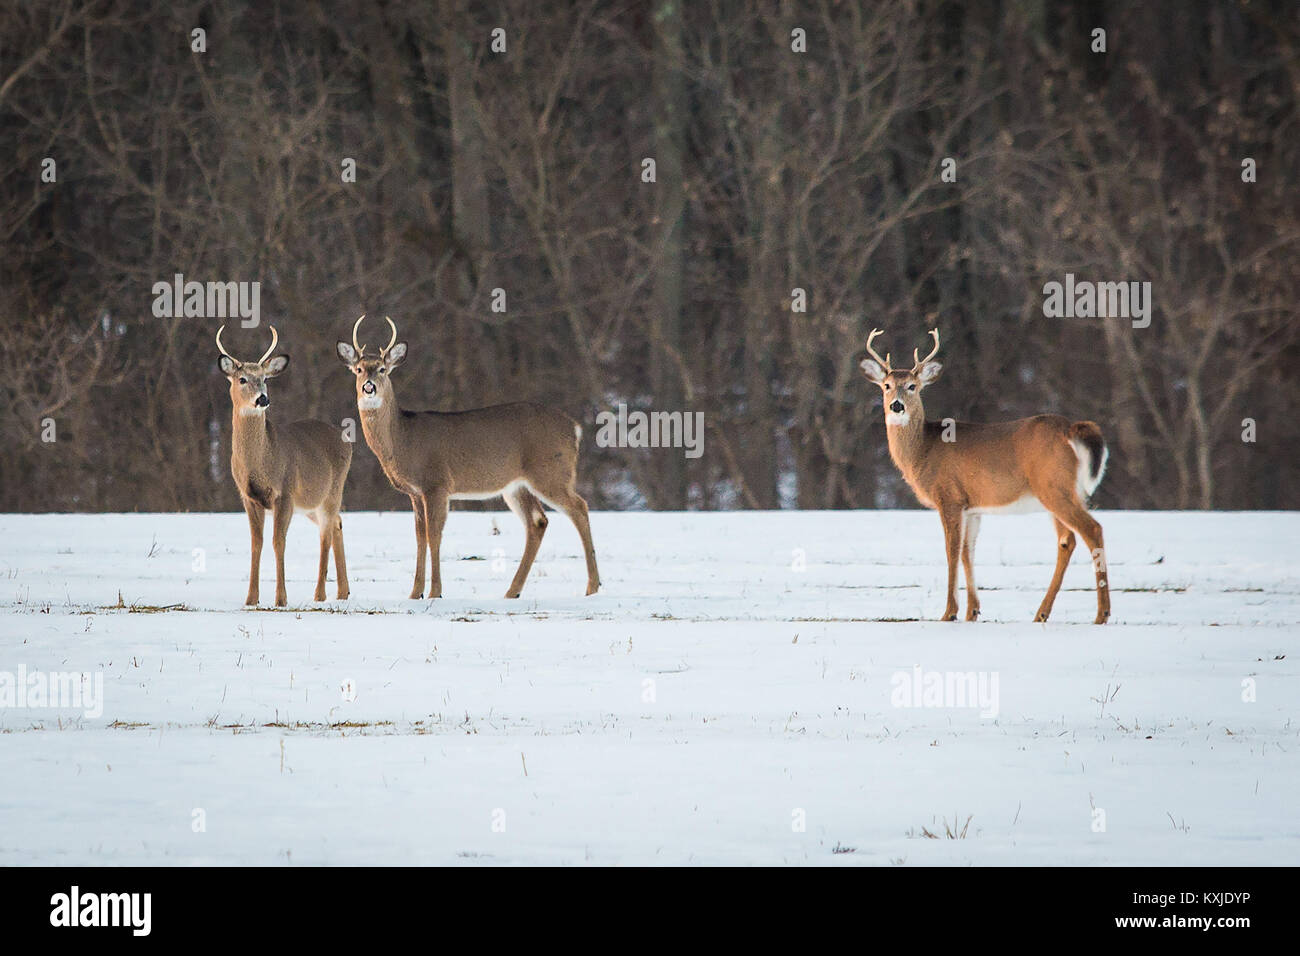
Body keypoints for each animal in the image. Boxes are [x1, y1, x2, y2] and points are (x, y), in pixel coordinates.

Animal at [216, 325, 352, 607]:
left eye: (265, 379)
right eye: (242, 379)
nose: (262, 399)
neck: (262, 461)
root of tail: (346, 440)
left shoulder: (286, 492)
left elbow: (278, 541)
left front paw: (281, 598)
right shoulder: (248, 497)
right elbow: (256, 543)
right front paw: (251, 598)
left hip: (332, 491)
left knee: (325, 534)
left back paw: (320, 594)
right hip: (312, 503)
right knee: (337, 524)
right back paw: (343, 592)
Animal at [336, 315, 600, 600]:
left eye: (383, 369)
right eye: (359, 369)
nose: (369, 386)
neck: (402, 439)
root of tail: (574, 428)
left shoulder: (437, 484)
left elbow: (434, 534)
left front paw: (435, 592)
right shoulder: (415, 492)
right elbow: (419, 536)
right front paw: (414, 593)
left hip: (551, 472)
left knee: (579, 507)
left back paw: (592, 586)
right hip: (517, 486)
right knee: (538, 521)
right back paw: (512, 591)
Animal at [859, 328, 1110, 624]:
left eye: (912, 386)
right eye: (886, 386)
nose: (897, 406)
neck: (923, 450)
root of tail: (1070, 429)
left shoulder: (949, 497)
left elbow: (952, 551)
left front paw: (949, 612)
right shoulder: (972, 507)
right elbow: (968, 553)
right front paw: (972, 611)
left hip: (1054, 486)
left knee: (1092, 529)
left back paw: (1101, 614)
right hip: (1063, 491)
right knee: (1066, 540)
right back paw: (1042, 613)